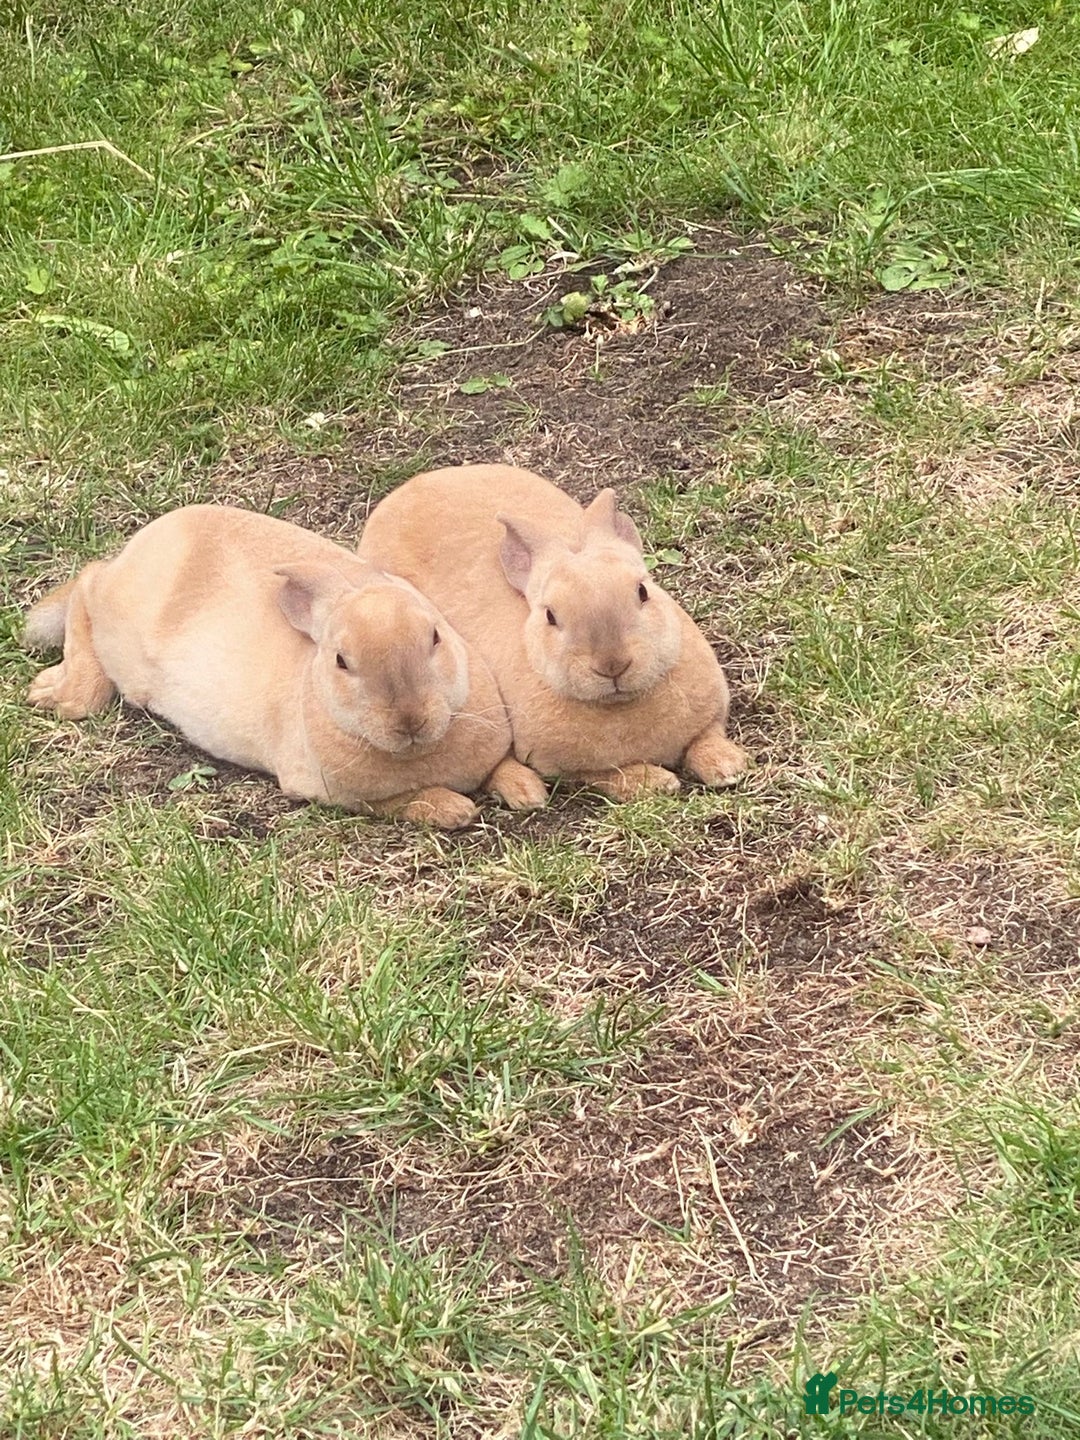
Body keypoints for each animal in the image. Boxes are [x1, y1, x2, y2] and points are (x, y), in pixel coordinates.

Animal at [24, 504, 544, 827]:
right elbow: (401, 801)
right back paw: (59, 693)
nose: (409, 719)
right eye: (341, 661)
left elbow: (500, 765)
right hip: (120, 633)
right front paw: (454, 809)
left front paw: (528, 791)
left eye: (435, 635)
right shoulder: (333, 791)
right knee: (87, 586)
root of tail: (139, 548)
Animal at [357, 465, 749, 800]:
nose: (612, 665)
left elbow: (706, 739)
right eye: (551, 616)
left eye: (642, 591)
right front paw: (657, 782)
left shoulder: (711, 719)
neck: (620, 703)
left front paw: (728, 767)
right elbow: (607, 775)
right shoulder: (561, 766)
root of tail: (412, 486)